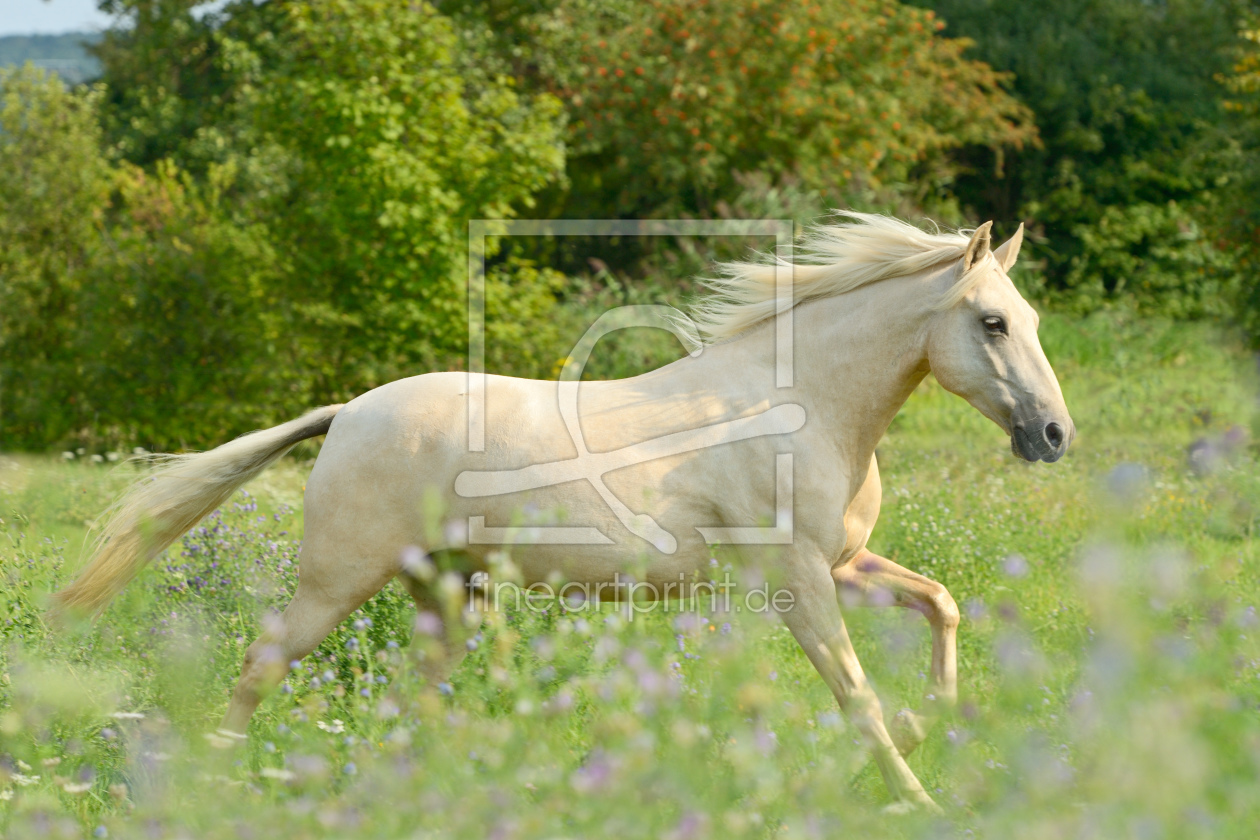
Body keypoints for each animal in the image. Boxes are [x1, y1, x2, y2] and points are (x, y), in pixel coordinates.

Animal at [51, 215, 1073, 816]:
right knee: (262, 667)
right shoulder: (796, 584)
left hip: (445, 596)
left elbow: (940, 605)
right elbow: (855, 693)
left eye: (1028, 318)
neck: (801, 406)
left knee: (417, 700)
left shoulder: (843, 566)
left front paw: (933, 724)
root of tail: (346, 413)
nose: (1055, 434)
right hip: (339, 582)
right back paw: (216, 785)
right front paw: (917, 796)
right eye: (991, 322)